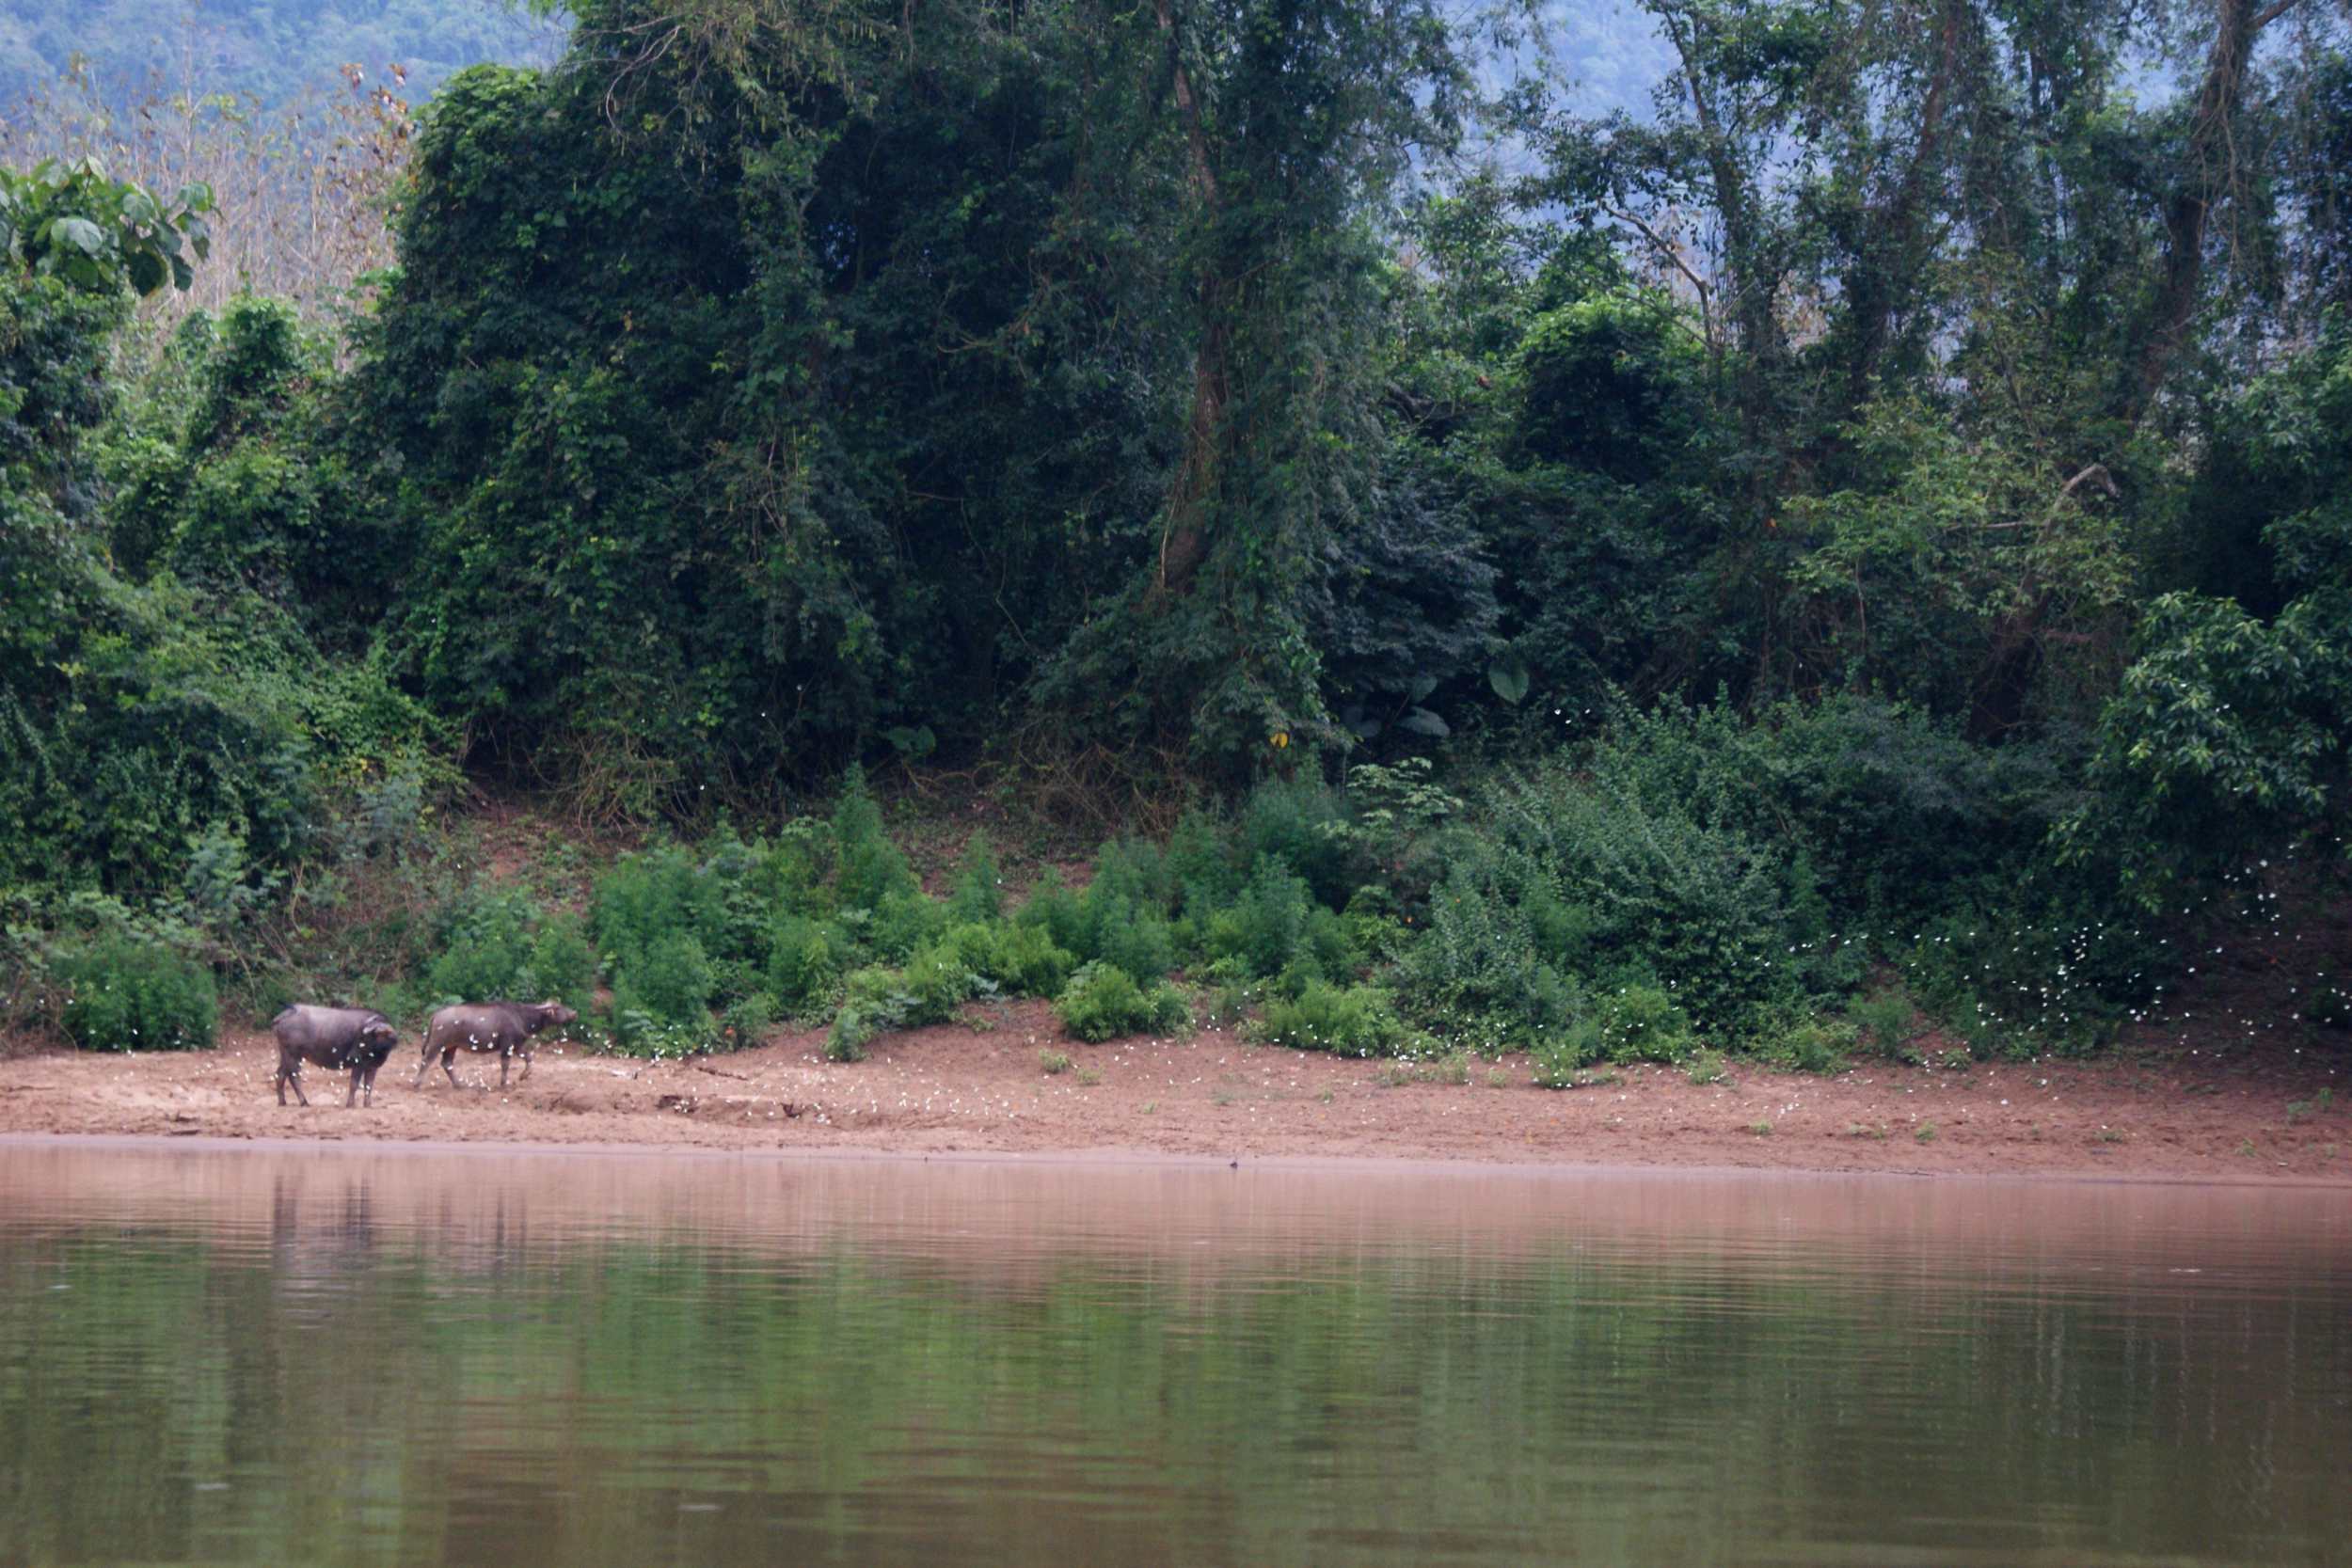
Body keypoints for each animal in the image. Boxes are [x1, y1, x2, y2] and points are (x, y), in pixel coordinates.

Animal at [270, 1006, 400, 1104]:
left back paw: (282, 1102)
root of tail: (285, 1015)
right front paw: (350, 1104)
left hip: (286, 1055)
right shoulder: (359, 1064)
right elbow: (354, 1084)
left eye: (364, 1038)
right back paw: (304, 1102)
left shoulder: (372, 1067)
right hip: (294, 1056)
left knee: (280, 1074)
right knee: (294, 1077)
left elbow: (369, 1086)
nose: (351, 1054)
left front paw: (368, 1104)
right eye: (360, 1036)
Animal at [414, 1006, 579, 1090]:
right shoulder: (507, 1045)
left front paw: (524, 1075)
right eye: (559, 1008)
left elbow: (529, 1057)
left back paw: (459, 1084)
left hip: (451, 1046)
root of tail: (436, 1015)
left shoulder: (517, 1045)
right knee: (426, 1061)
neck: (522, 1017)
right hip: (437, 1043)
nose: (574, 1012)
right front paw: (503, 1083)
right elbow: (505, 1065)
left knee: (446, 1063)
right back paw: (417, 1084)